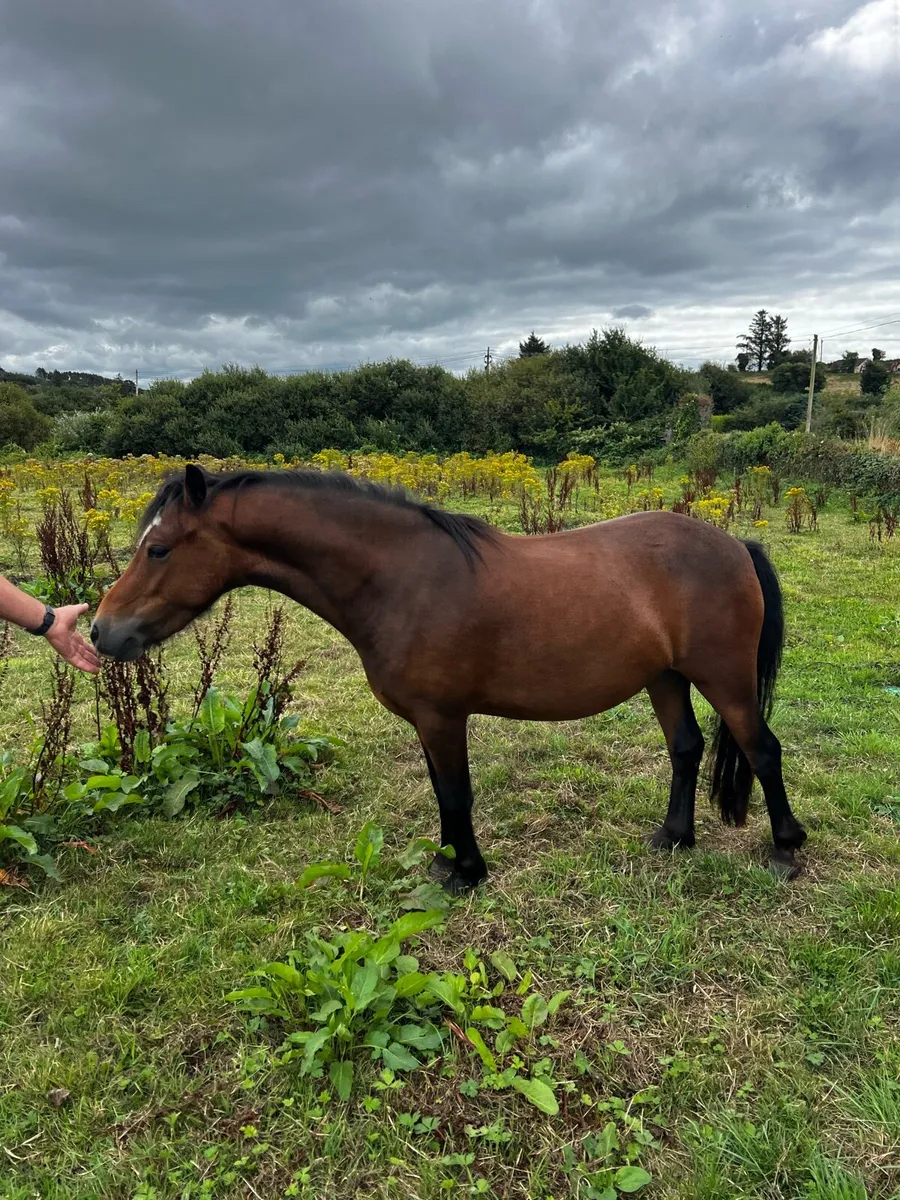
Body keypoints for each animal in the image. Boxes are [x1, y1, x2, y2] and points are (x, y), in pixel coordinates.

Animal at [91, 464, 807, 889]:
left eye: (158, 549)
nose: (101, 631)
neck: (400, 578)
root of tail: (734, 544)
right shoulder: (427, 721)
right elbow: (442, 793)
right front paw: (445, 860)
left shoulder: (442, 717)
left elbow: (457, 795)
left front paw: (466, 872)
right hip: (665, 676)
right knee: (686, 748)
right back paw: (674, 838)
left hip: (724, 680)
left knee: (761, 750)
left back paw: (785, 848)